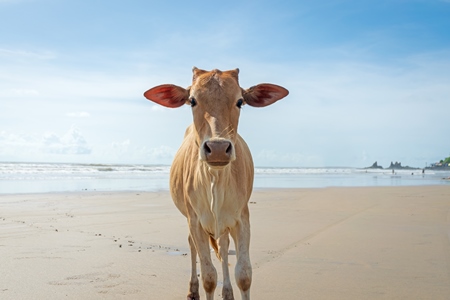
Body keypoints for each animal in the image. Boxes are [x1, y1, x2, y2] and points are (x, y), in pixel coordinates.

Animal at [145, 67, 292, 298]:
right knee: (192, 246)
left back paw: (228, 292)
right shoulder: (195, 220)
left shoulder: (242, 218)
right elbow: (208, 277)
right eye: (192, 100)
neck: (216, 178)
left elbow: (244, 274)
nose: (217, 148)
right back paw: (192, 289)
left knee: (223, 248)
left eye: (240, 101)